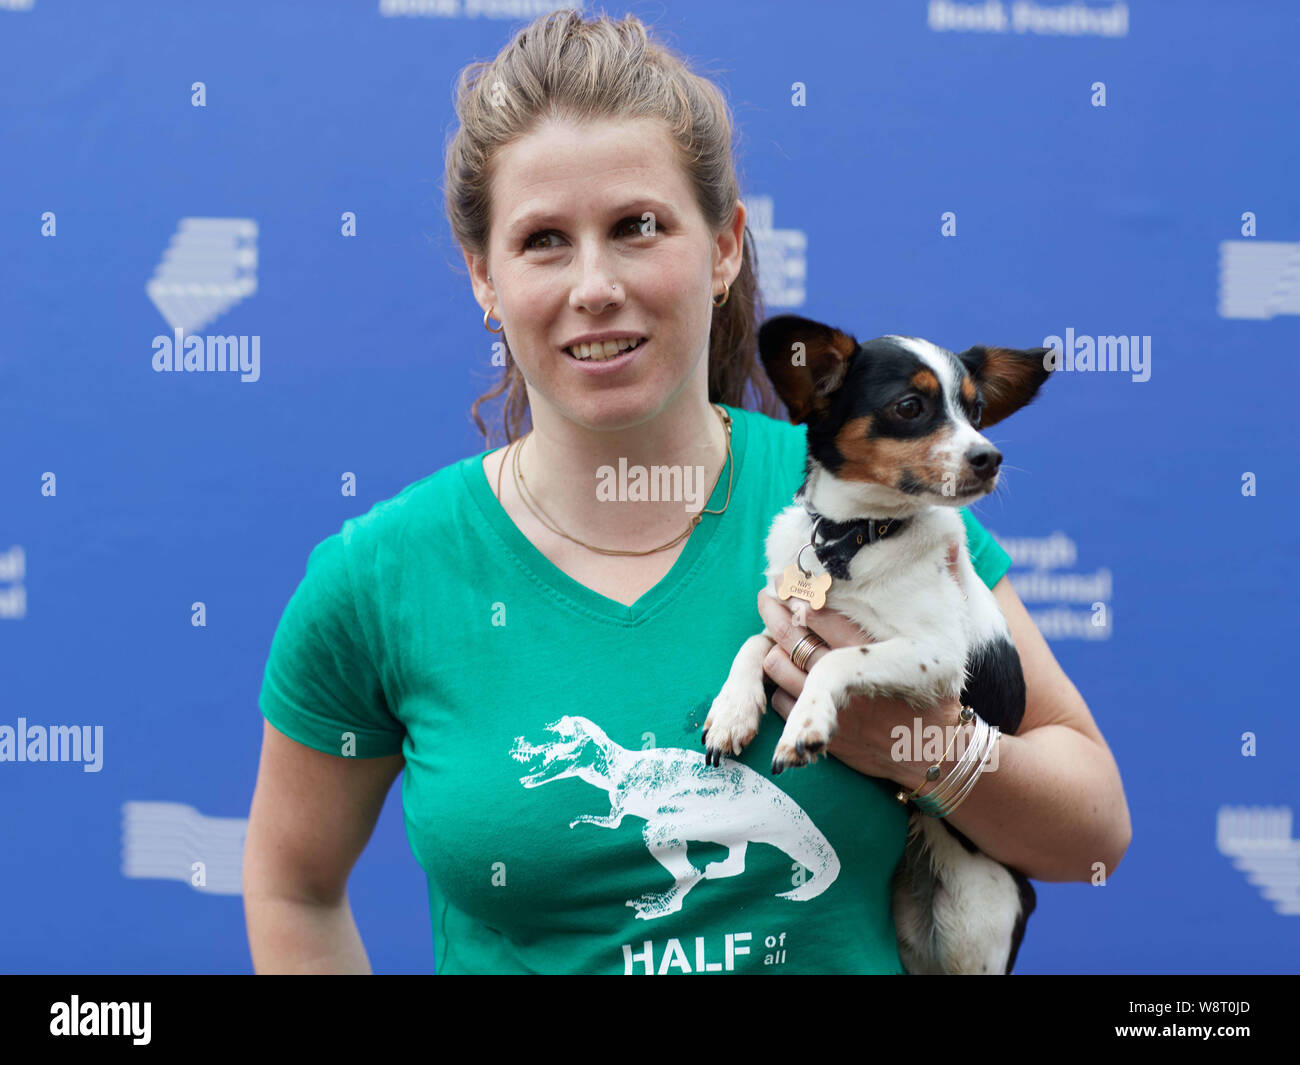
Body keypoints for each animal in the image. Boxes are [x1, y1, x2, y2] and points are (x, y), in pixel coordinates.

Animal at [702, 314, 1055, 972]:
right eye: (910, 407)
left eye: (976, 411)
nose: (990, 457)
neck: (857, 538)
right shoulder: (788, 616)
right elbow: (754, 643)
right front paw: (733, 710)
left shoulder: (938, 656)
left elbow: (841, 656)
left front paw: (805, 723)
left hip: (973, 920)